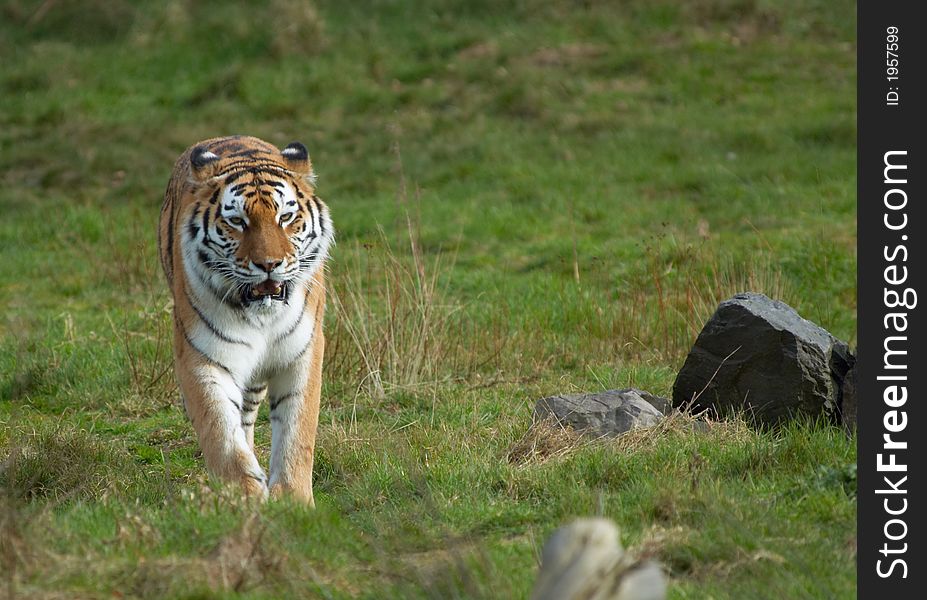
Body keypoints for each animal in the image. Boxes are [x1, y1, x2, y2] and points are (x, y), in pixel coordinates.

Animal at [159, 135, 334, 502]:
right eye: (237, 221)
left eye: (286, 217)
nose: (269, 264)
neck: (262, 318)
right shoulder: (201, 358)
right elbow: (221, 433)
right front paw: (244, 497)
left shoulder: (302, 354)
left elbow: (297, 434)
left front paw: (294, 501)